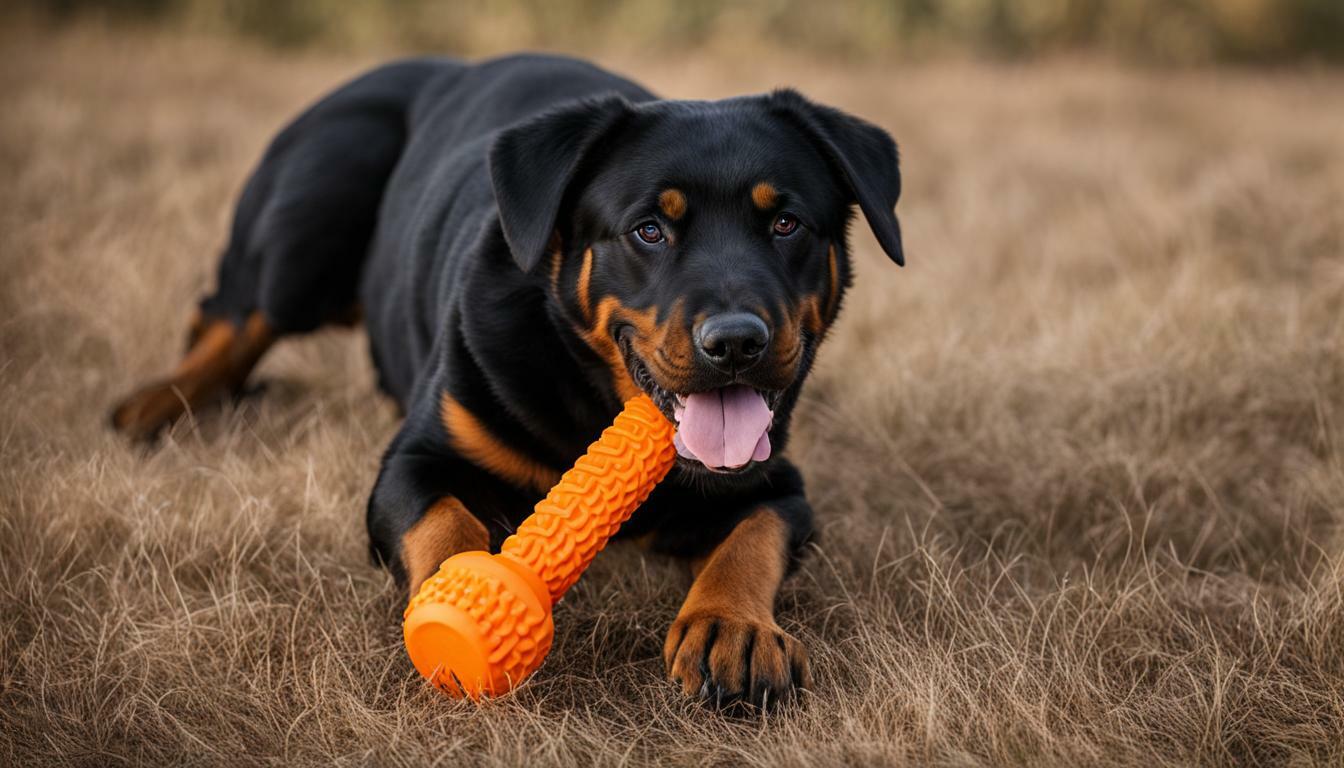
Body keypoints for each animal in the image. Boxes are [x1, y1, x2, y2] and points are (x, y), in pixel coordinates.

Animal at [110, 54, 908, 710]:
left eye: (787, 224)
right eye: (649, 229)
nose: (737, 342)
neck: (594, 400)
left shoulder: (775, 481)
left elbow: (755, 535)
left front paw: (731, 627)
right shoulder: (416, 458)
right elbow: (444, 519)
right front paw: (456, 597)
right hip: (315, 207)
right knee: (231, 314)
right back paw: (152, 403)